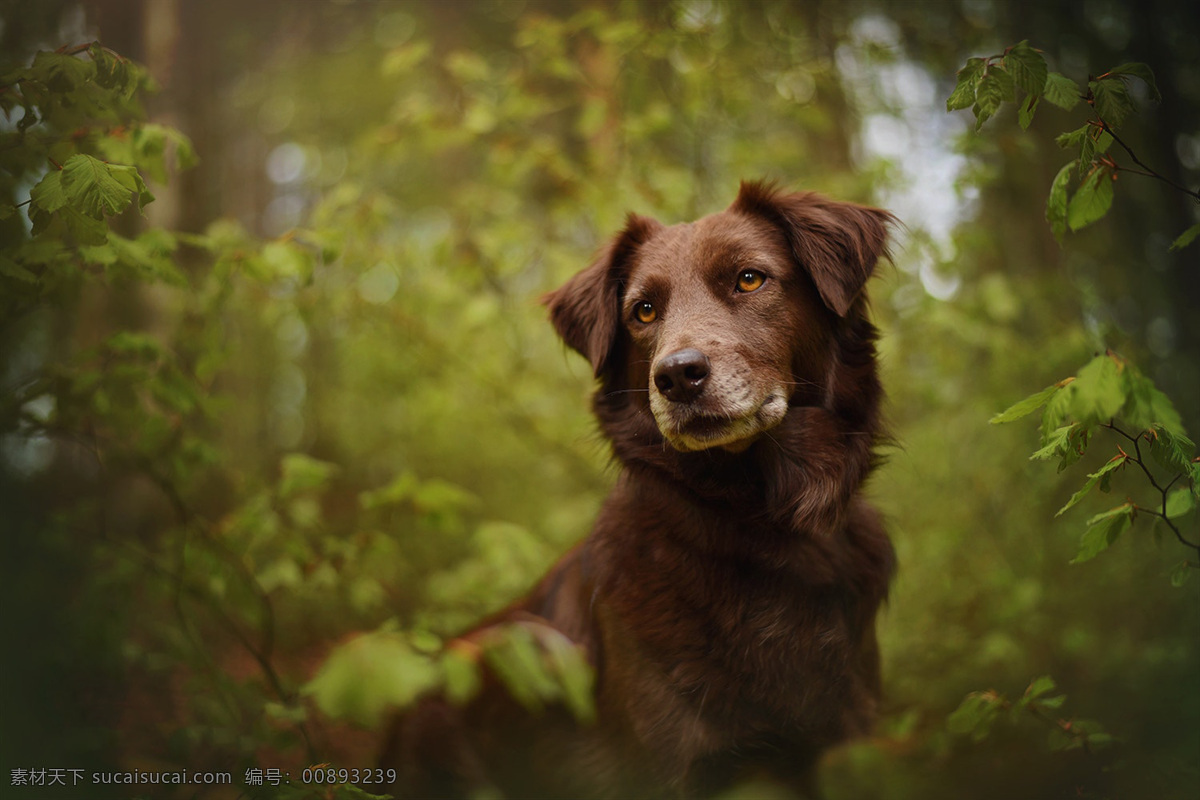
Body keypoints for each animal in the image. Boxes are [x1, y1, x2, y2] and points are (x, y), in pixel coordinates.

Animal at [379, 181, 897, 800]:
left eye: (749, 279)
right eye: (643, 311)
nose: (676, 376)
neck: (762, 526)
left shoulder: (845, 739)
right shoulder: (668, 766)